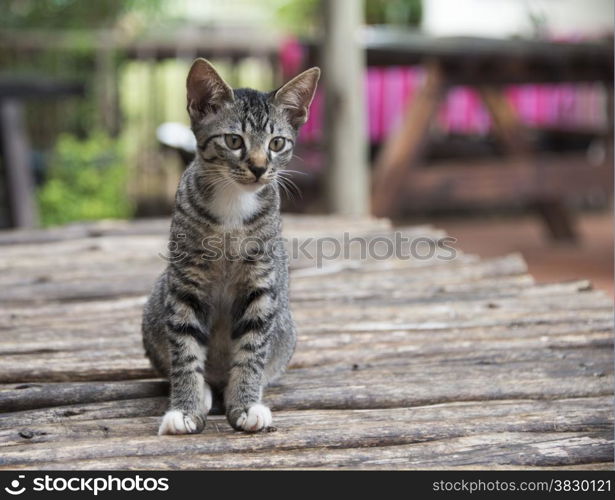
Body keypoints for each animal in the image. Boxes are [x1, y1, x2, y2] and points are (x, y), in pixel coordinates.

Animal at [142, 58, 320, 434]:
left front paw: (246, 404)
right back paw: (206, 391)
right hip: (154, 308)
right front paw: (185, 407)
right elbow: (185, 350)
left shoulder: (261, 284)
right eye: (234, 140)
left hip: (286, 327)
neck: (233, 207)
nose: (259, 167)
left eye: (277, 143)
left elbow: (252, 351)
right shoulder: (185, 283)